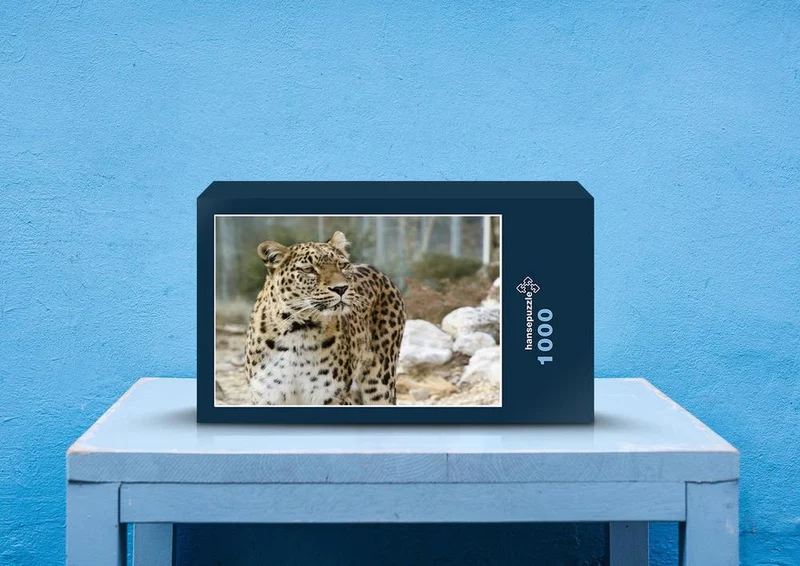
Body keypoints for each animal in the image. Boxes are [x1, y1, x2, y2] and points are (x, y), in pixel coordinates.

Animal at [244, 231, 406, 406]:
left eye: (342, 265)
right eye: (309, 269)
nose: (341, 288)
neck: (297, 331)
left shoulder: (330, 396)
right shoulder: (267, 396)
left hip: (380, 382)